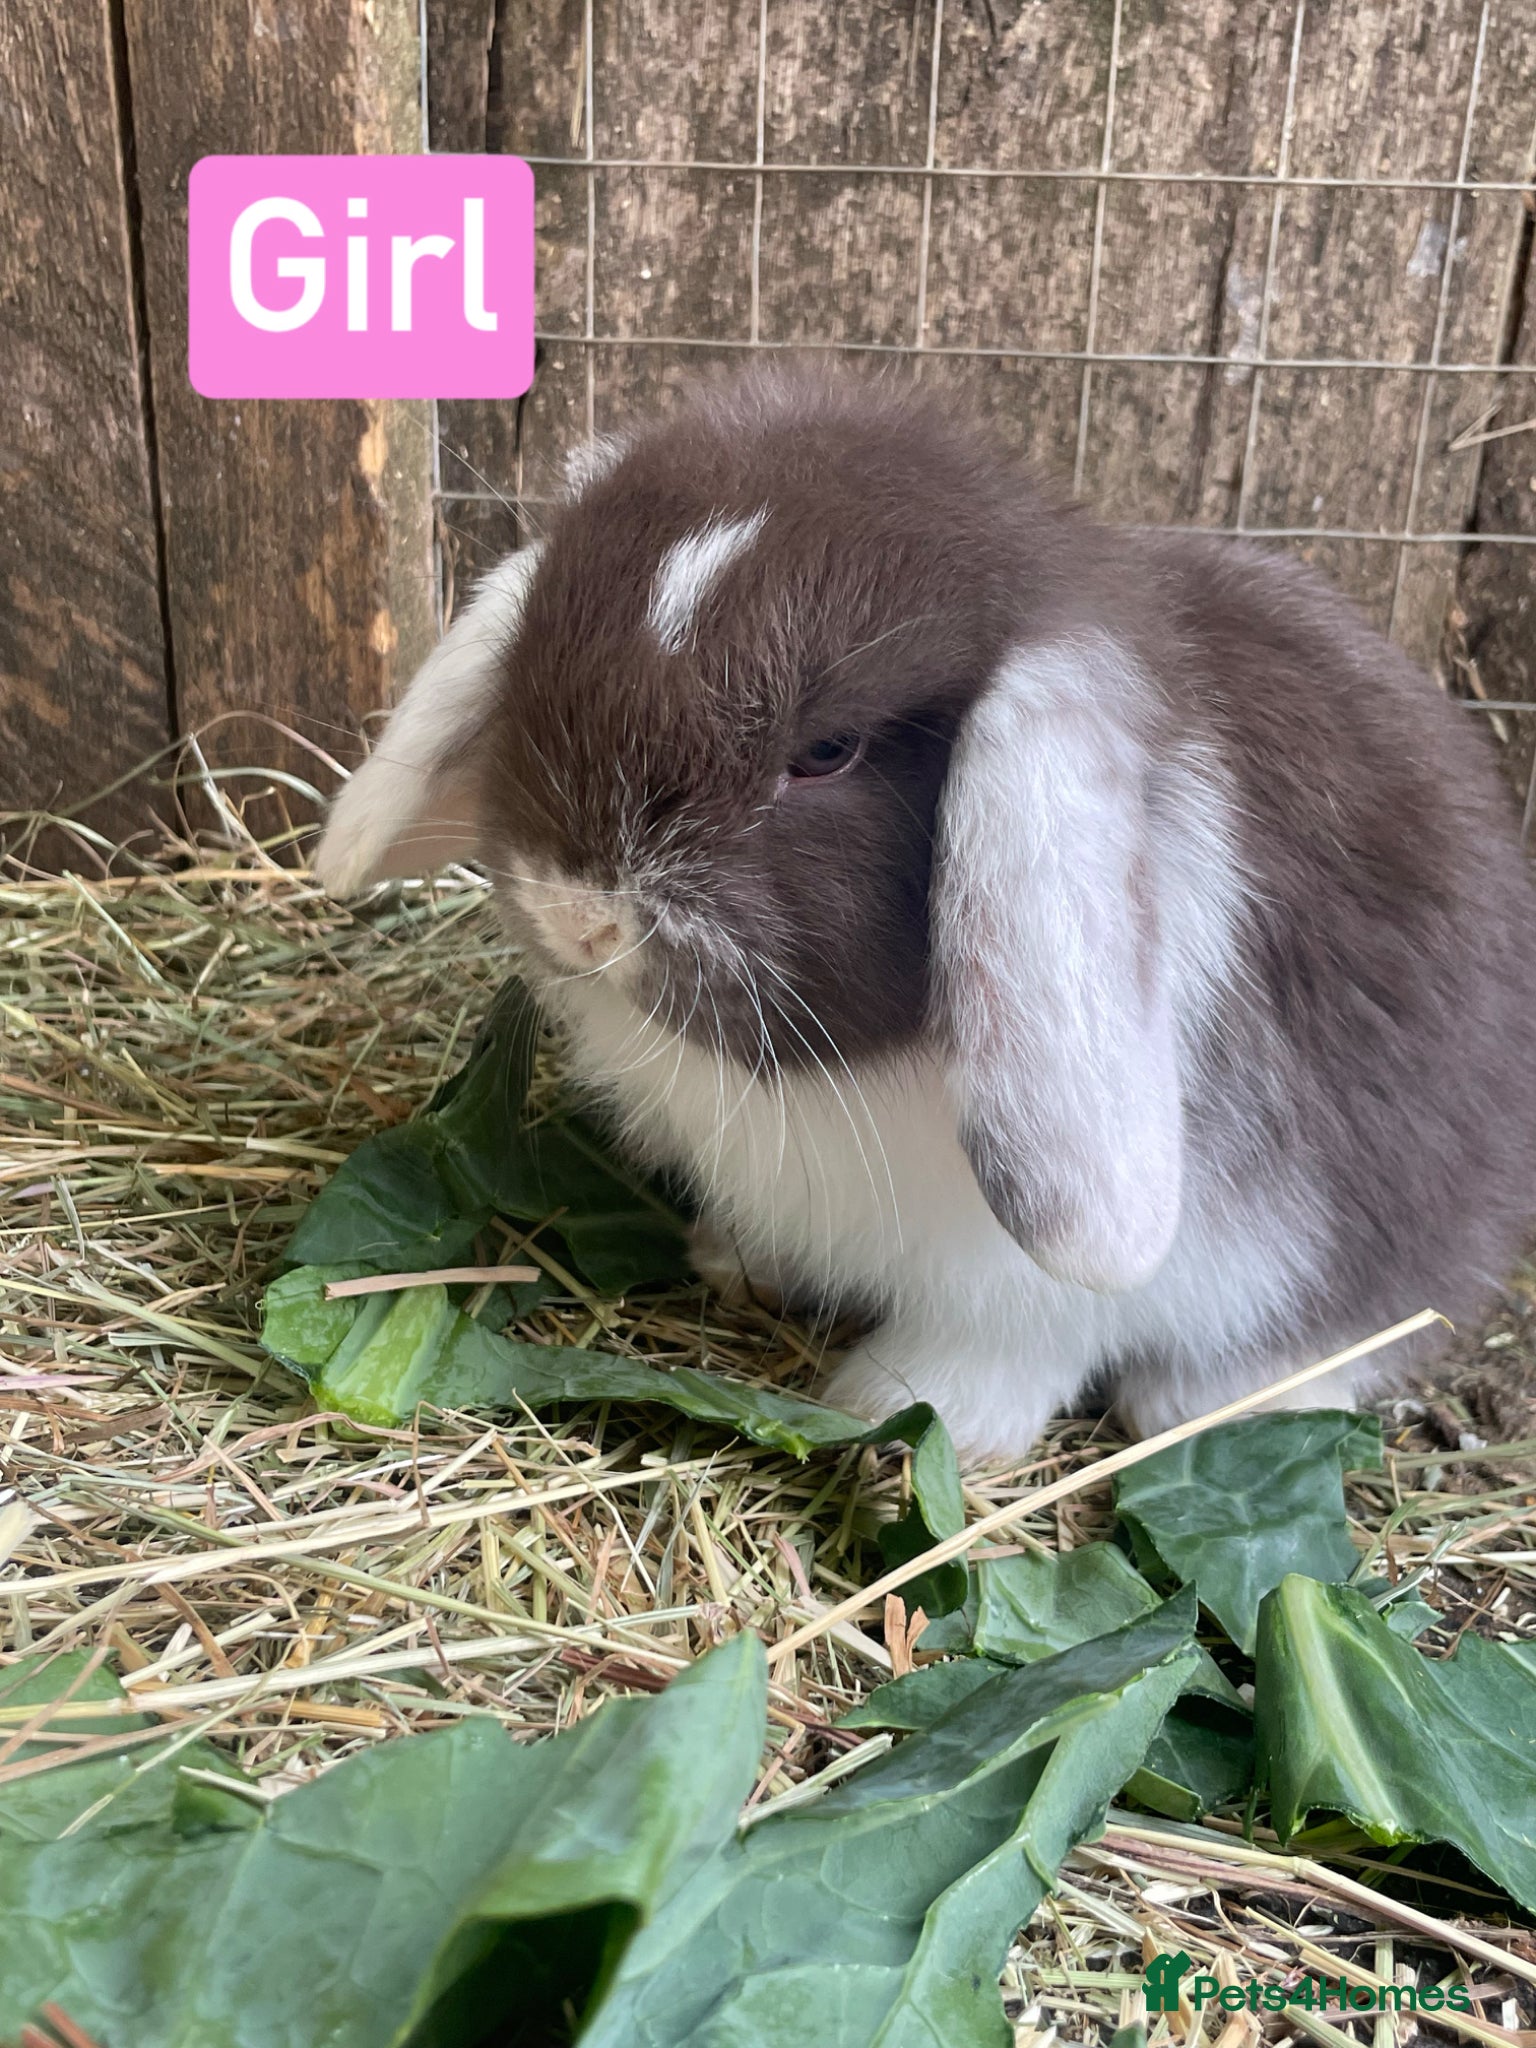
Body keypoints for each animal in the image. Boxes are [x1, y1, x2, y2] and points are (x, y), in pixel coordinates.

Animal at [314, 366, 1536, 1463]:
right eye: (536, 653)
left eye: (826, 750)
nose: (583, 917)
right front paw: (732, 1262)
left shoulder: (1055, 1285)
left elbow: (1019, 1343)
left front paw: (901, 1407)